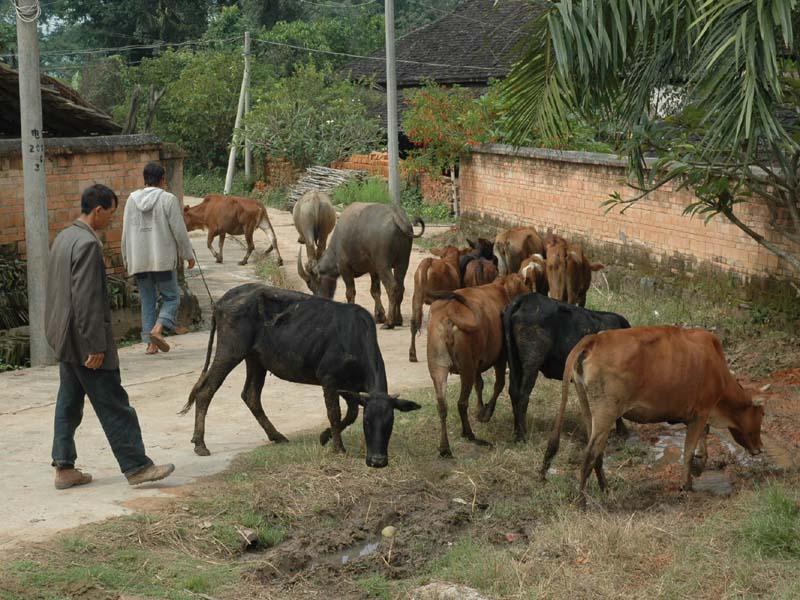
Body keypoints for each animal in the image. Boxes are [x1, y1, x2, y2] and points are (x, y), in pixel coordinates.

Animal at [179, 284, 422, 466]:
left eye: (390, 423)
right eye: (368, 422)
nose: (377, 461)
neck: (354, 337)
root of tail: (224, 299)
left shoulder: (348, 386)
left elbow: (351, 413)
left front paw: (325, 436)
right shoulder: (328, 378)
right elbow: (334, 413)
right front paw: (338, 448)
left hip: (256, 359)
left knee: (250, 395)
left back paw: (276, 436)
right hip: (231, 350)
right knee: (207, 390)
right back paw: (200, 443)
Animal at [424, 274, 532, 458]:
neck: (502, 290)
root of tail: (448, 312)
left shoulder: (477, 364)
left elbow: (479, 385)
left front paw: (480, 409)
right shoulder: (500, 358)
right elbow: (498, 385)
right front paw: (485, 414)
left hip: (439, 369)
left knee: (442, 406)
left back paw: (445, 447)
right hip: (466, 368)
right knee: (461, 403)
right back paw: (469, 434)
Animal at [540, 326, 764, 500]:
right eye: (760, 419)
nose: (760, 448)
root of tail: (595, 338)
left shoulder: (697, 416)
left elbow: (701, 444)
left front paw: (698, 469)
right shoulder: (701, 413)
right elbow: (689, 452)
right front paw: (687, 485)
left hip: (588, 406)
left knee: (598, 453)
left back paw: (605, 488)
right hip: (606, 411)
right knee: (589, 454)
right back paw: (582, 501)